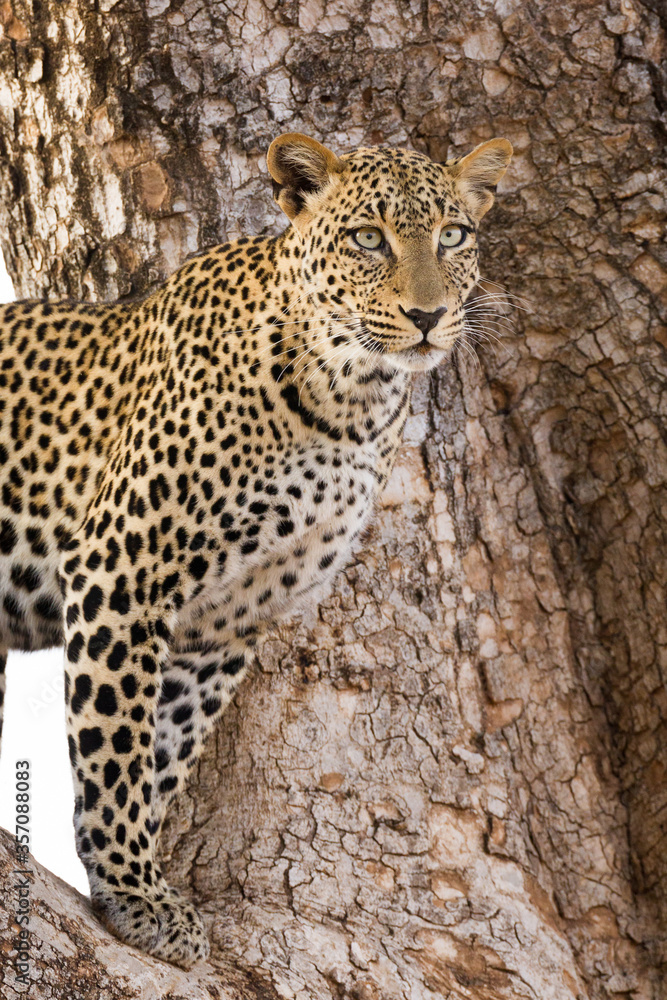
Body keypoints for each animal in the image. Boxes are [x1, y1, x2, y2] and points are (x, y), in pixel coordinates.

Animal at [0, 132, 512, 968]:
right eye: (367, 238)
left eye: (453, 236)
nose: (428, 314)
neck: (348, 401)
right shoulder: (124, 567)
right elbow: (115, 739)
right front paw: (135, 890)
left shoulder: (227, 619)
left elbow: (161, 751)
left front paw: (129, 878)